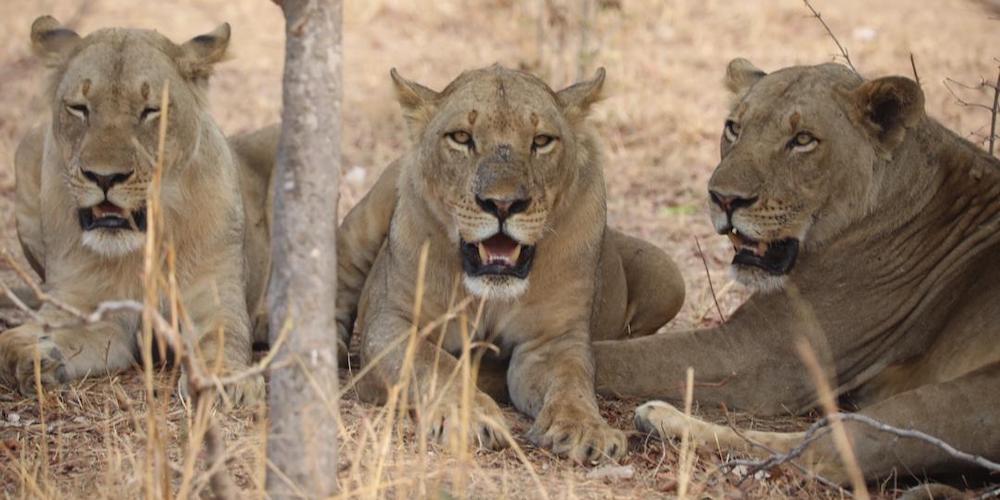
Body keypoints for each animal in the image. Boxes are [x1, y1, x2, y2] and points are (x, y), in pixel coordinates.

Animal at [0, 16, 277, 406]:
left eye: (150, 111)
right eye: (79, 108)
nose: (104, 176)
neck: (142, 243)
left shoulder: (213, 297)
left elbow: (223, 334)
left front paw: (225, 380)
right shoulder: (99, 317)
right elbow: (11, 339)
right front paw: (35, 357)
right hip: (27, 145)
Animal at [339, 65, 685, 462]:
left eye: (542, 140)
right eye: (461, 137)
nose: (503, 204)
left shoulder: (550, 341)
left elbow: (571, 381)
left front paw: (586, 429)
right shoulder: (391, 323)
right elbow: (435, 365)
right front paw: (470, 417)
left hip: (669, 275)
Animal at [594, 59, 1000, 483]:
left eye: (803, 139)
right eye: (733, 128)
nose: (723, 198)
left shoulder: (756, 354)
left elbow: (616, 358)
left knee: (827, 453)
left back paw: (663, 420)